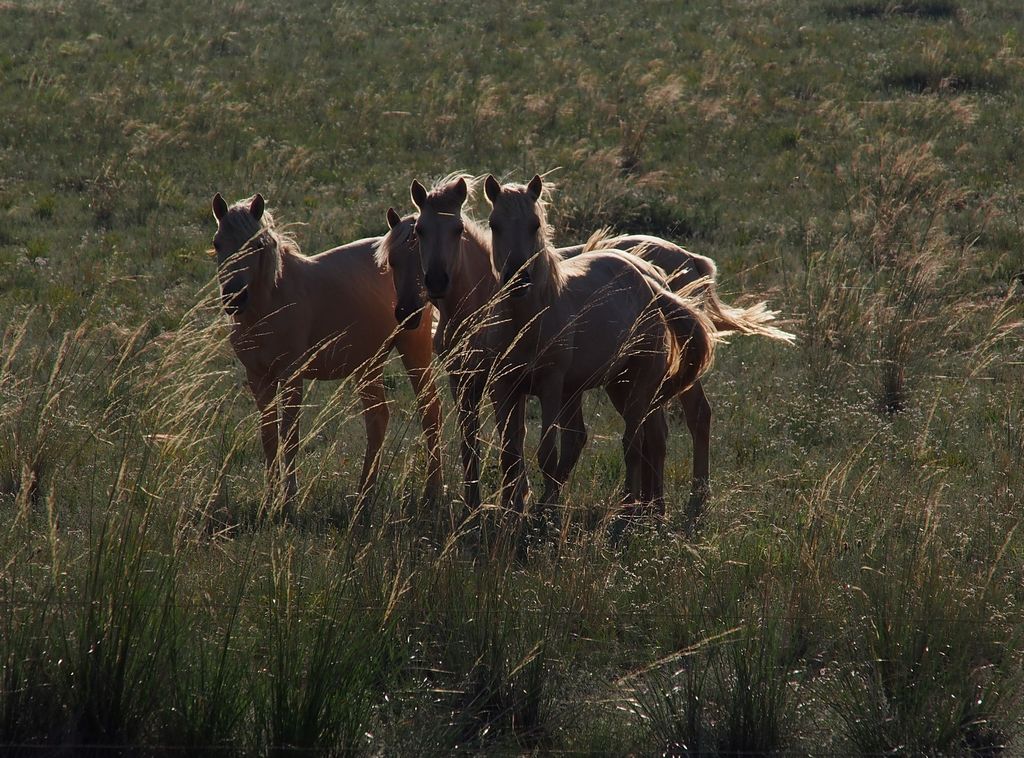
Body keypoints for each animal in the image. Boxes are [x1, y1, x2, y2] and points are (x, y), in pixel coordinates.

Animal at [209, 192, 442, 518]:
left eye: (256, 246)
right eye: (218, 243)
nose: (234, 298)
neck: (269, 305)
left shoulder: (291, 376)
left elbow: (289, 437)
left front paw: (288, 503)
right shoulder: (258, 379)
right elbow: (269, 438)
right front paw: (268, 501)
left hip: (413, 349)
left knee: (430, 411)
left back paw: (431, 495)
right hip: (369, 363)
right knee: (378, 419)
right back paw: (363, 498)